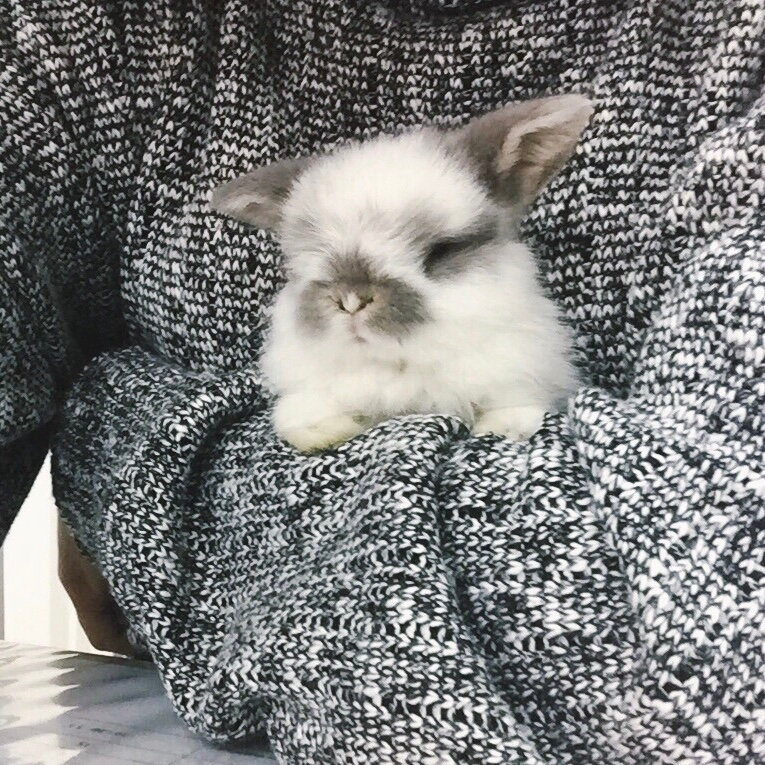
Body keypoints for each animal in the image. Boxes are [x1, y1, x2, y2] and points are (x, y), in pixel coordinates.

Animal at [211, 94, 593, 453]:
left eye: (441, 251)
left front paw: (504, 426)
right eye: (303, 259)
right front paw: (318, 431)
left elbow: (513, 398)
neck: (398, 364)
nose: (351, 300)